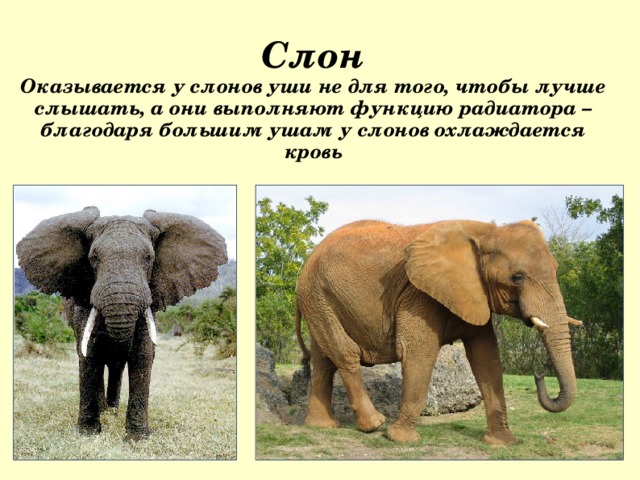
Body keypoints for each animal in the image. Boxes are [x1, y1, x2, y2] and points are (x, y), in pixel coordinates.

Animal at [16, 206, 227, 441]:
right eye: (94, 257)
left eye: (148, 257)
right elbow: (89, 355)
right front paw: (88, 433)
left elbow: (142, 355)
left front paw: (137, 439)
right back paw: (105, 410)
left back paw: (113, 410)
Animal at [295, 219, 581, 445]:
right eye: (517, 277)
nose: (539, 373)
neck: (486, 231)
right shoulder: (419, 294)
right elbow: (419, 352)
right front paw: (402, 440)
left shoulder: (472, 292)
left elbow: (486, 358)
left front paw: (503, 443)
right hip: (317, 295)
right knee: (344, 354)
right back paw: (374, 424)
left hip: (319, 298)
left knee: (323, 361)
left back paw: (323, 426)